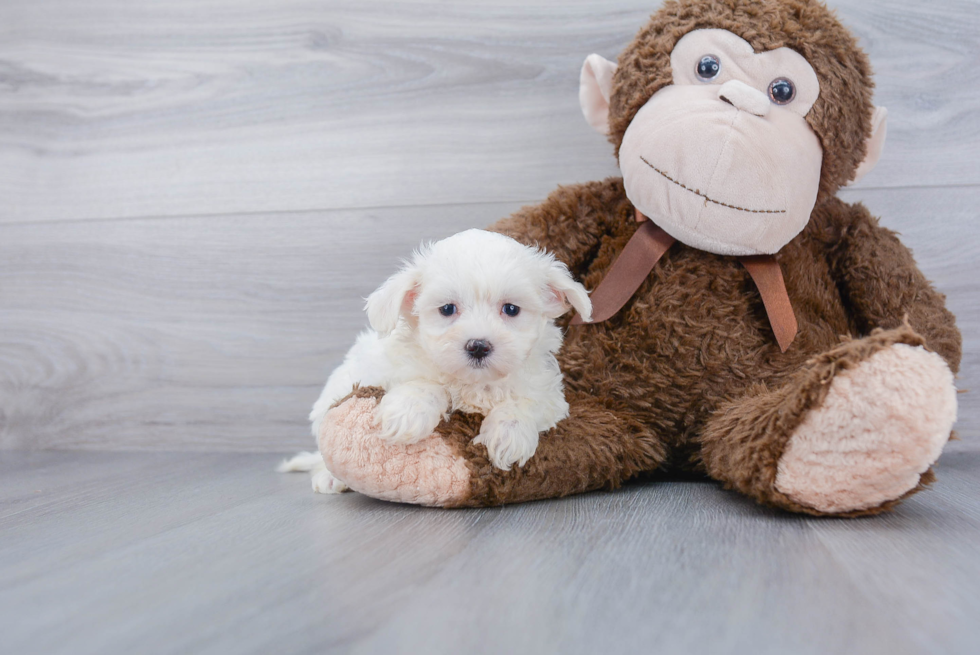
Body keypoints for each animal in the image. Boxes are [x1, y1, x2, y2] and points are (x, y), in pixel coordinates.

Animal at [280, 229, 592, 492]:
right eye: (447, 309)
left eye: (511, 309)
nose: (478, 346)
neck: (473, 384)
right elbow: (425, 383)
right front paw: (407, 412)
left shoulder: (549, 395)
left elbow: (525, 402)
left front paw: (508, 435)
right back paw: (329, 477)